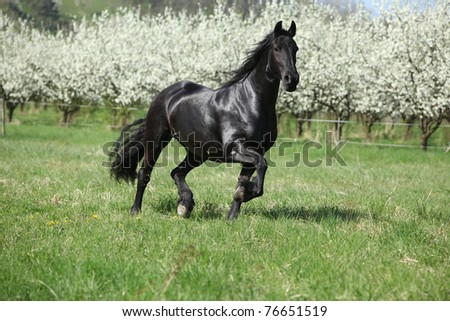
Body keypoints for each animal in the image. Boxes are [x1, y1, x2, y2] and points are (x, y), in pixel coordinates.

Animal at [109, 20, 298, 220]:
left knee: (176, 172)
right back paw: (136, 210)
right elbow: (262, 164)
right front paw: (245, 193)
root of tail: (165, 94)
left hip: (197, 153)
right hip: (156, 140)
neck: (250, 102)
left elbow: (246, 178)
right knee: (144, 173)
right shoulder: (235, 148)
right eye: (277, 48)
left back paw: (185, 205)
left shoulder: (255, 151)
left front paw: (233, 212)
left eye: (296, 48)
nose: (292, 79)